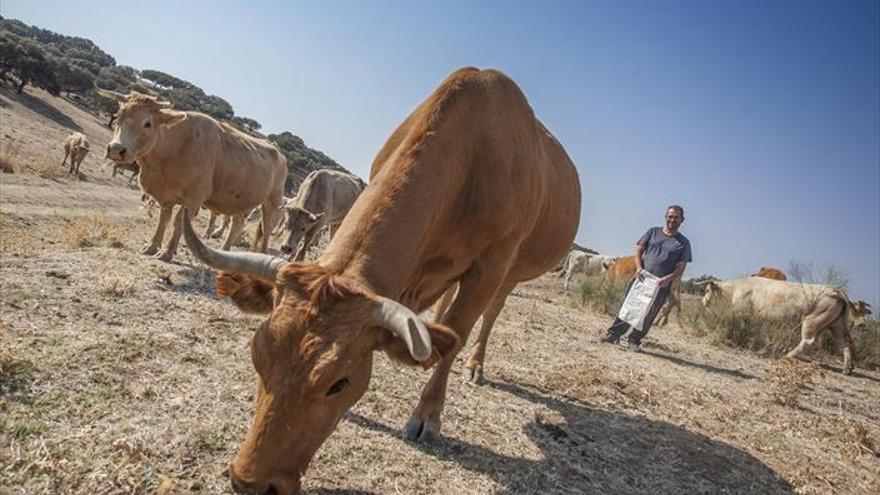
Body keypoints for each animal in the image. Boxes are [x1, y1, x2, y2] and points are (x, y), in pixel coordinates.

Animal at [97, 88, 288, 264]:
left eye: (147, 123)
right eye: (118, 116)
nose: (116, 149)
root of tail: (278, 152)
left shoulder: (194, 197)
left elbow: (179, 222)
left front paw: (166, 253)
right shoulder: (166, 196)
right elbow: (163, 220)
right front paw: (152, 247)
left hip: (272, 201)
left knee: (267, 228)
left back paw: (262, 254)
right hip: (242, 202)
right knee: (237, 223)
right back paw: (226, 252)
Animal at [182, 68, 580, 494]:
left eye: (339, 383)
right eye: (257, 354)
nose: (248, 482)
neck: (473, 159)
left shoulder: (492, 264)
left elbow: (457, 333)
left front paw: (428, 415)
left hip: (511, 273)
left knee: (488, 316)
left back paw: (475, 366)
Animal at [700, 278, 852, 374]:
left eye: (707, 290)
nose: (703, 302)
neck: (734, 289)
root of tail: (836, 290)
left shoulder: (740, 313)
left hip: (811, 321)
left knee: (809, 342)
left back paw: (788, 355)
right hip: (837, 326)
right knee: (845, 345)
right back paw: (847, 370)